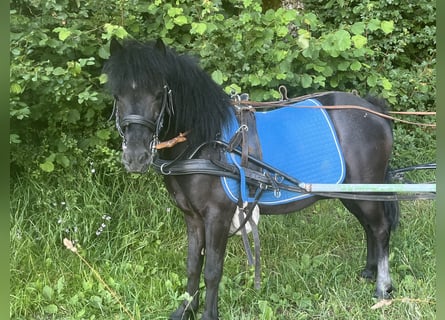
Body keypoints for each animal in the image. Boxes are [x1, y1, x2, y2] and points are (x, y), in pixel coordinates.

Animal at [104, 39, 398, 320]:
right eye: (117, 95)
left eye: (158, 94)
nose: (135, 157)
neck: (206, 143)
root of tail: (374, 110)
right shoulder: (193, 217)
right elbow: (192, 265)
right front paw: (185, 310)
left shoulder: (217, 216)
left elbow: (212, 269)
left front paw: (208, 314)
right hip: (351, 193)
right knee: (368, 227)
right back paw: (369, 271)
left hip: (367, 191)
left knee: (380, 229)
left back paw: (382, 286)